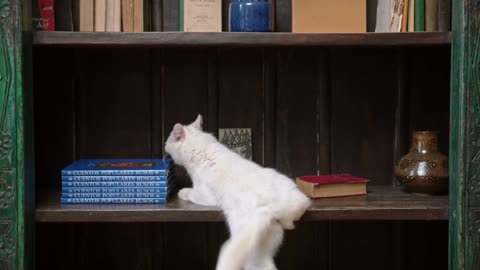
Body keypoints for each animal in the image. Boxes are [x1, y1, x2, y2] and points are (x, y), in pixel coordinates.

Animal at [165, 114, 314, 270]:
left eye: (169, 139)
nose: (165, 145)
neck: (201, 148)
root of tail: (269, 208)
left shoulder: (206, 196)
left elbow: (190, 193)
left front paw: (182, 192)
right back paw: (289, 224)